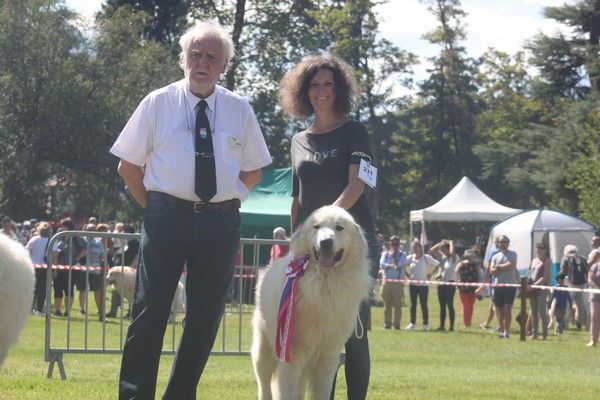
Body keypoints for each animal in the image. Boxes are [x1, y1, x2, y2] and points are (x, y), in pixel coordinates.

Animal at [251, 206, 372, 400]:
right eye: (317, 227)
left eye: (339, 228)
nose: (326, 242)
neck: (325, 282)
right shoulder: (291, 355)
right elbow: (286, 392)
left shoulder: (328, 357)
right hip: (264, 351)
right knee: (264, 385)